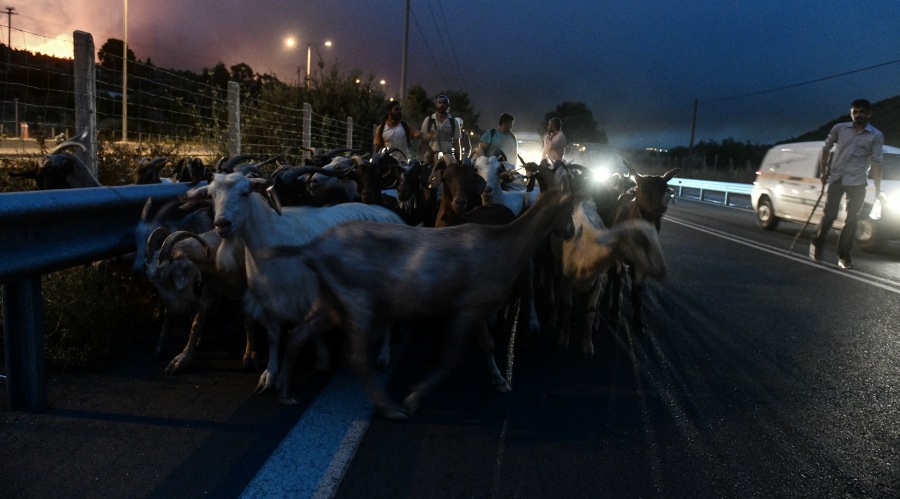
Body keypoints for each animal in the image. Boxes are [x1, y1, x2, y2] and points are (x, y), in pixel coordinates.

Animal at [182, 174, 404, 396]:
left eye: (245, 193)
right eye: (211, 196)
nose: (222, 224)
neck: (269, 240)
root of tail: (390, 215)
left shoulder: (299, 296)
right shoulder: (268, 299)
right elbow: (273, 336)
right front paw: (269, 374)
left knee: (390, 317)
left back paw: (383, 356)